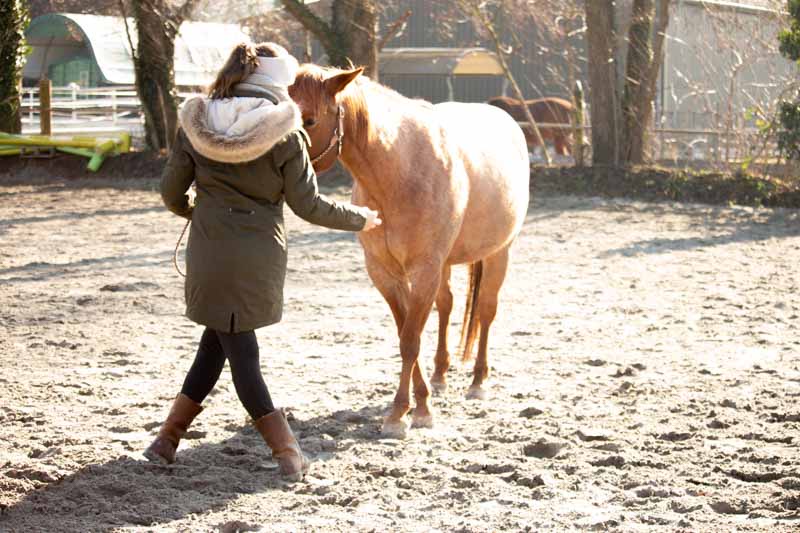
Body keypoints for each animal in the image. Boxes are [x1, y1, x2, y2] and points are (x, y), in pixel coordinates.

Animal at [289, 65, 530, 438]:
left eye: (310, 120)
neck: (399, 174)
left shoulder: (424, 270)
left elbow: (411, 340)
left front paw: (409, 412)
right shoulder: (385, 274)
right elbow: (406, 333)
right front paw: (414, 403)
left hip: (498, 253)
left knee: (486, 310)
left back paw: (478, 381)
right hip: (445, 265)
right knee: (446, 305)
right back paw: (441, 375)